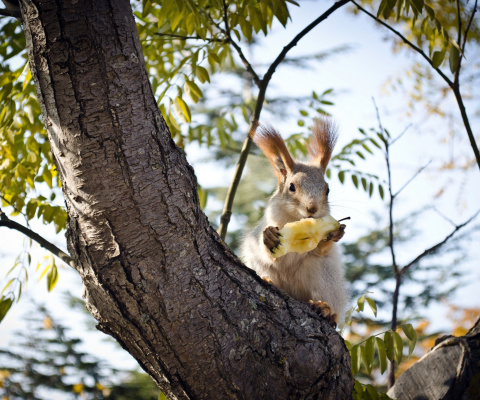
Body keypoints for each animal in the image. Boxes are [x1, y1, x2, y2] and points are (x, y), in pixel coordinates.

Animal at [242, 119, 346, 328]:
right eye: (291, 187)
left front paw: (335, 235)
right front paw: (269, 237)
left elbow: (320, 249)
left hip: (323, 275)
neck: (296, 219)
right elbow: (271, 254)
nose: (312, 208)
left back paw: (326, 310)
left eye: (327, 190)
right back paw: (269, 280)